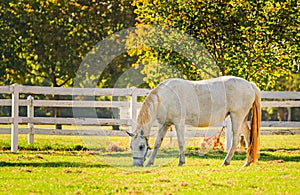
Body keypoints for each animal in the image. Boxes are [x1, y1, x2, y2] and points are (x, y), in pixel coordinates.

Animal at [126, 75, 260, 167]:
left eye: (141, 146)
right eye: (131, 146)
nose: (136, 165)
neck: (164, 98)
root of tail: (249, 84)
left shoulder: (178, 123)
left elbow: (181, 142)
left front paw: (181, 161)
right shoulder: (165, 124)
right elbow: (157, 143)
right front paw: (150, 162)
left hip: (236, 117)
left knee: (236, 140)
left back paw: (226, 162)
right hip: (242, 119)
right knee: (248, 137)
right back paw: (247, 162)